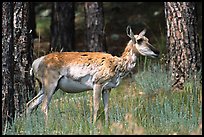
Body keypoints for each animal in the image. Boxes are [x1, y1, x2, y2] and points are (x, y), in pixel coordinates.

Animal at [25, 25, 159, 125]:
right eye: (139, 40)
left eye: (147, 39)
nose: (157, 52)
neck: (117, 65)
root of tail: (36, 62)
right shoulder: (97, 84)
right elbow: (96, 107)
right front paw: (94, 125)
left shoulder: (107, 88)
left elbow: (106, 108)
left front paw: (107, 125)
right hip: (50, 84)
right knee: (43, 106)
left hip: (48, 87)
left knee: (30, 104)